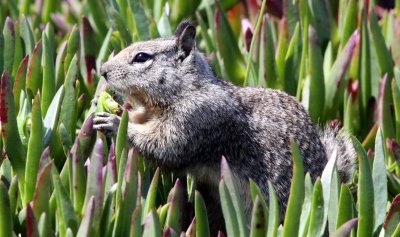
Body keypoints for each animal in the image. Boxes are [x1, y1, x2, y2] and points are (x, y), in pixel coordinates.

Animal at [94, 20, 356, 230]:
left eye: (141, 57)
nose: (102, 70)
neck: (187, 90)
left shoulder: (196, 120)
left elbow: (164, 147)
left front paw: (114, 122)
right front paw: (109, 106)